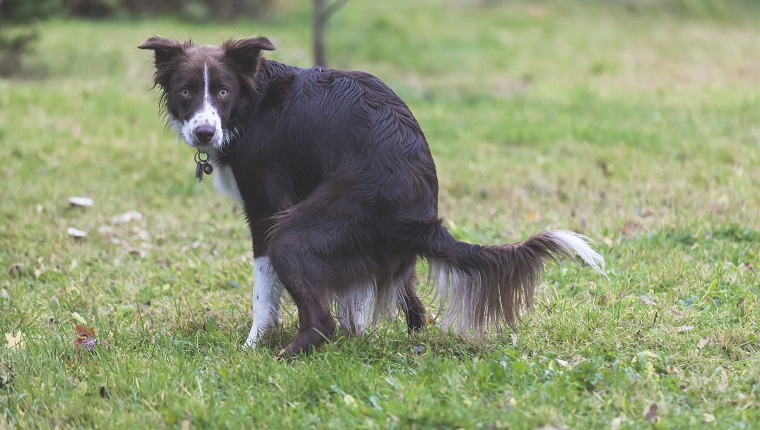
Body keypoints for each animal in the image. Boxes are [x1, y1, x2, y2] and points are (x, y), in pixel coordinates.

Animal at [140, 36, 604, 356]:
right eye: (185, 91)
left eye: (222, 91)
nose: (204, 133)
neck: (252, 102)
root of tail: (421, 218)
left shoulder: (268, 208)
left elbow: (263, 291)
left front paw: (254, 344)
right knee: (413, 304)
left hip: (302, 231)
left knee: (321, 321)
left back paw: (285, 356)